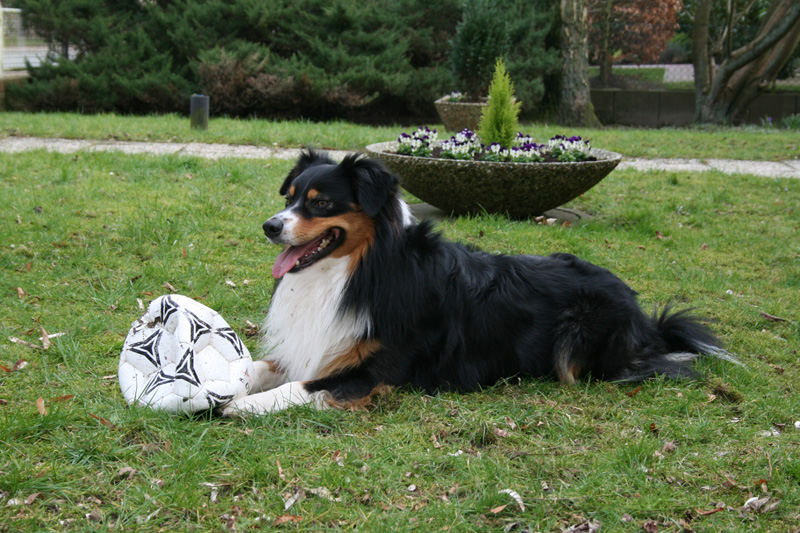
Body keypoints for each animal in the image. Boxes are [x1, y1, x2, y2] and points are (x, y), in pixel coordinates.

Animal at [220, 150, 736, 416]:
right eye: (289, 197)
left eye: (320, 203)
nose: (270, 226)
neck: (359, 270)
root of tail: (642, 314)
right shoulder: (319, 347)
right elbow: (262, 367)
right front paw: (234, 381)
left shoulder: (374, 372)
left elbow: (297, 388)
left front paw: (240, 406)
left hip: (579, 342)